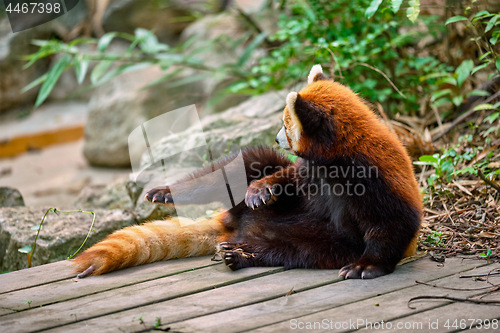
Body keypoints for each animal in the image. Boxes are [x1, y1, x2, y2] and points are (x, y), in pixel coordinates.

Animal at [73, 64, 422, 278]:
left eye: (285, 125)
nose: (276, 138)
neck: (337, 161)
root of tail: (235, 225)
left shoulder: (377, 182)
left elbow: (391, 226)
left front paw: (367, 266)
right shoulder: (308, 170)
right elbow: (284, 177)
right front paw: (262, 189)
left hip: (318, 240)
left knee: (296, 250)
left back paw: (239, 255)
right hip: (248, 189)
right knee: (233, 167)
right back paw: (169, 193)